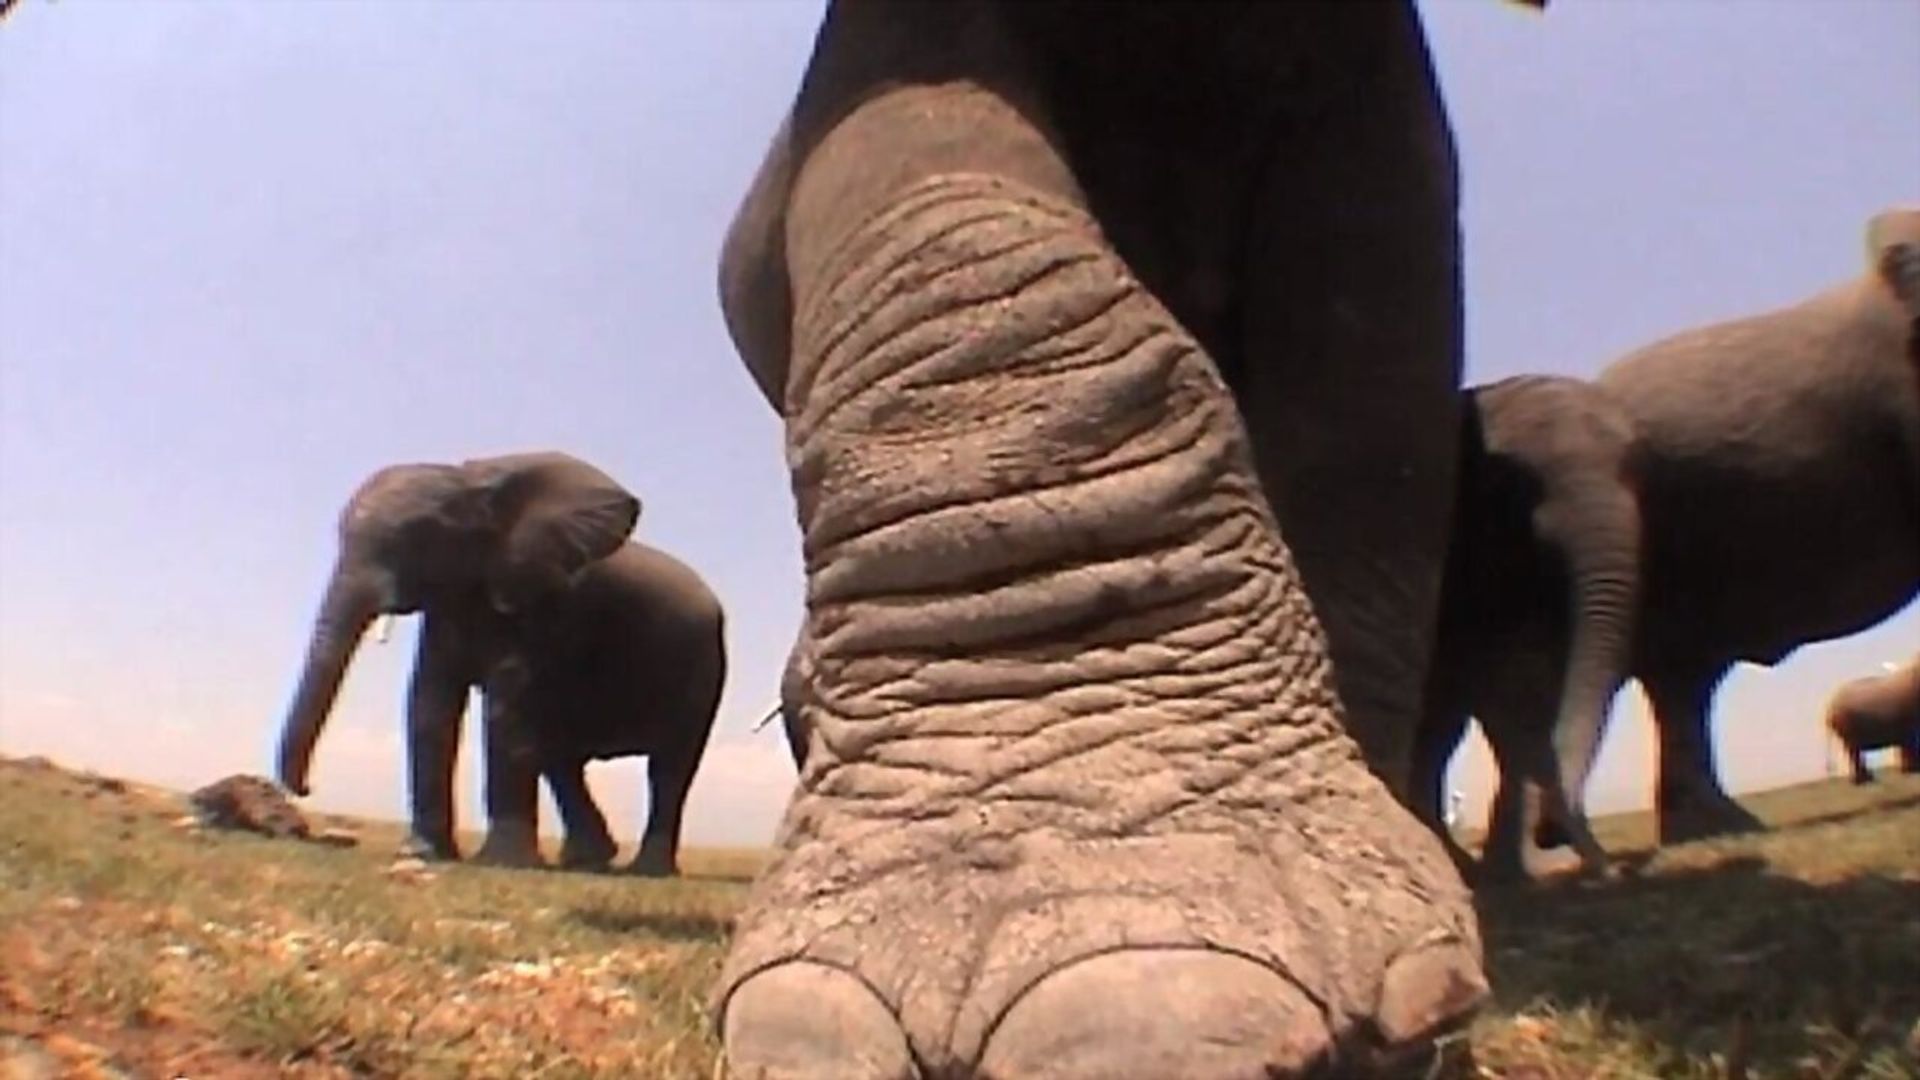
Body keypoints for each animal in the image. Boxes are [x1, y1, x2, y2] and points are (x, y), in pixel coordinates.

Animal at [273, 451, 726, 876]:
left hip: (705, 663)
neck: (475, 484)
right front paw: (424, 853)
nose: (308, 787)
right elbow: (429, 703)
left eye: (417, 539)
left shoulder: (548, 605)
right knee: (561, 754)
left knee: (668, 769)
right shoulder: (450, 605)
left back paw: (645, 869)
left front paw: (501, 861)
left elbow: (505, 704)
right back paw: (588, 860)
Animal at [1826, 656, 1920, 784]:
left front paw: (1908, 770)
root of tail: (1828, 710)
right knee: (1854, 750)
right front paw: (1913, 770)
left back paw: (1864, 778)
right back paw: (1862, 780)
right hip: (1847, 725)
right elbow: (1910, 740)